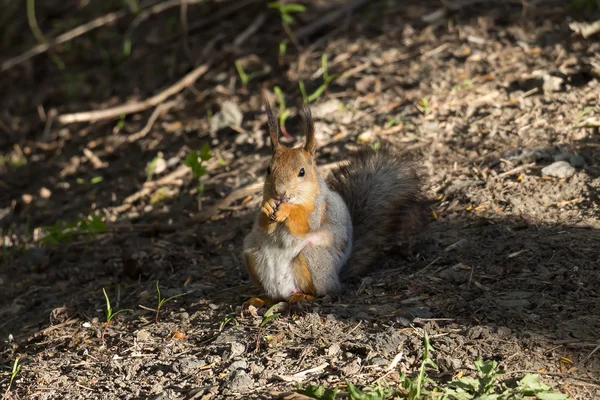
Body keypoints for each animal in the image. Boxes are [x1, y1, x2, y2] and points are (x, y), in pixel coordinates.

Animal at [241, 102, 428, 306]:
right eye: (268, 170)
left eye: (302, 172)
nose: (280, 192)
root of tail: (337, 277)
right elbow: (264, 226)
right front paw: (267, 206)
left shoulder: (318, 207)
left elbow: (304, 226)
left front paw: (288, 211)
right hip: (252, 255)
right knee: (274, 295)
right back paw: (262, 299)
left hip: (313, 258)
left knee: (322, 290)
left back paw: (303, 295)